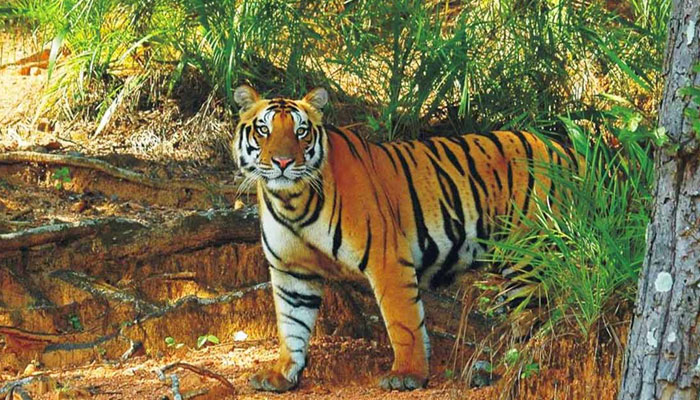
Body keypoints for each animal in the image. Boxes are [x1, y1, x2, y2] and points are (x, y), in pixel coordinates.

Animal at [231, 85, 579, 392]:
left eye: (301, 131)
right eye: (263, 130)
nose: (283, 162)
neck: (292, 201)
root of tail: (566, 151)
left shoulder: (387, 260)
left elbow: (403, 322)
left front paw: (407, 375)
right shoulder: (291, 272)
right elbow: (292, 325)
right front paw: (282, 374)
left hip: (529, 259)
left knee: (536, 323)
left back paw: (514, 371)